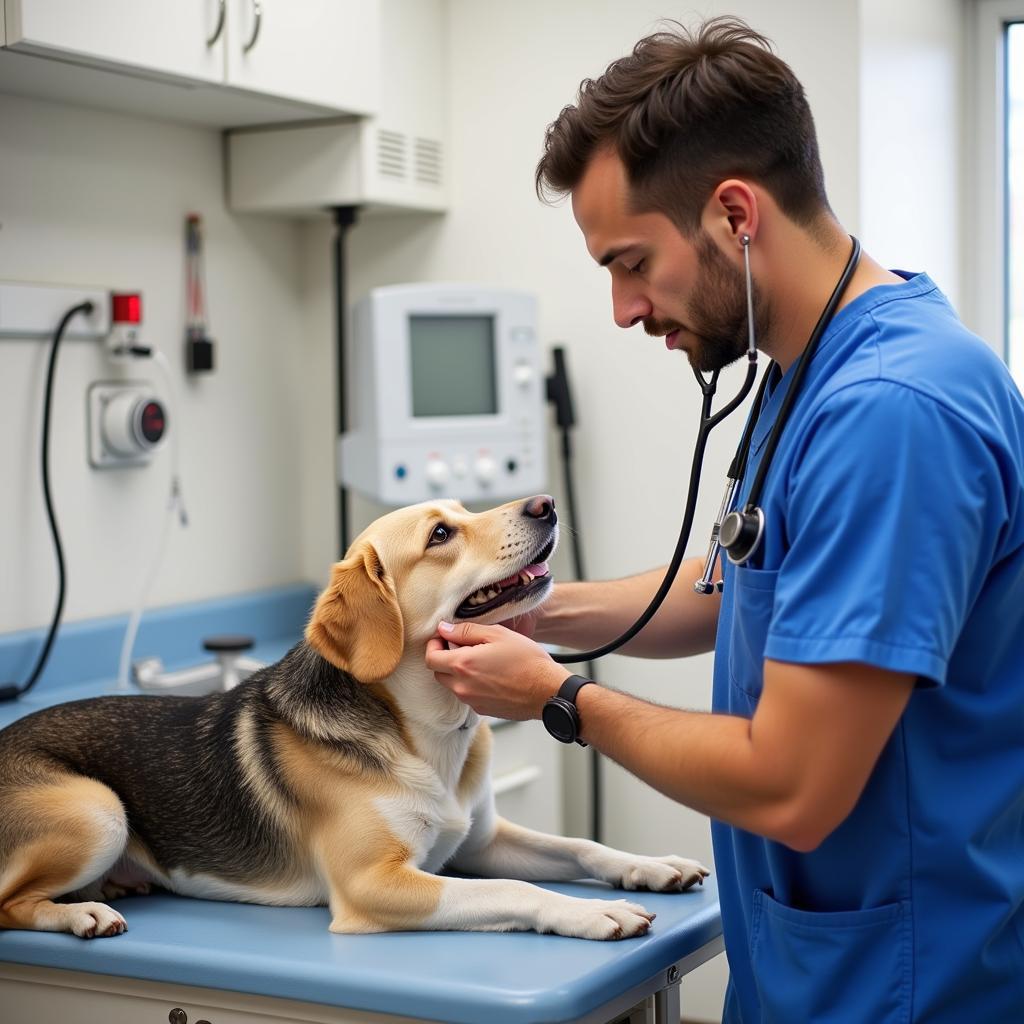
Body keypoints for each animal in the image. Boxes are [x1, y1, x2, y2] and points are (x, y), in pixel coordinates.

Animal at [0, 499, 704, 937]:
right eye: (440, 535)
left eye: (463, 512)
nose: (546, 503)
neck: (428, 734)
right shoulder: (377, 883)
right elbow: (516, 892)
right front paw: (593, 914)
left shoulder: (481, 842)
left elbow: (581, 846)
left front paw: (652, 866)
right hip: (99, 811)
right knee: (10, 904)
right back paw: (81, 914)